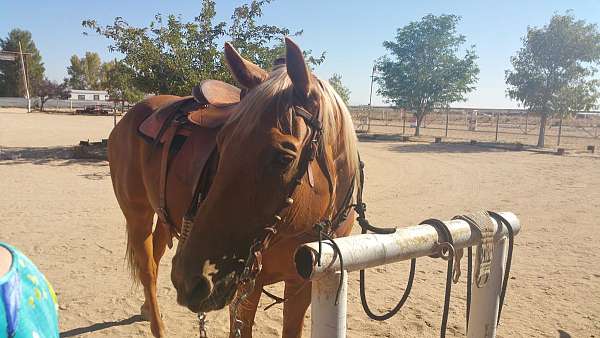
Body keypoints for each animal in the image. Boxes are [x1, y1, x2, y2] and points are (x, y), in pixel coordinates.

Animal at [109, 37, 356, 338]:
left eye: (284, 157)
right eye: (221, 142)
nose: (189, 280)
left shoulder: (303, 286)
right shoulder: (246, 289)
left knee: (155, 261)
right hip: (137, 215)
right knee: (146, 268)